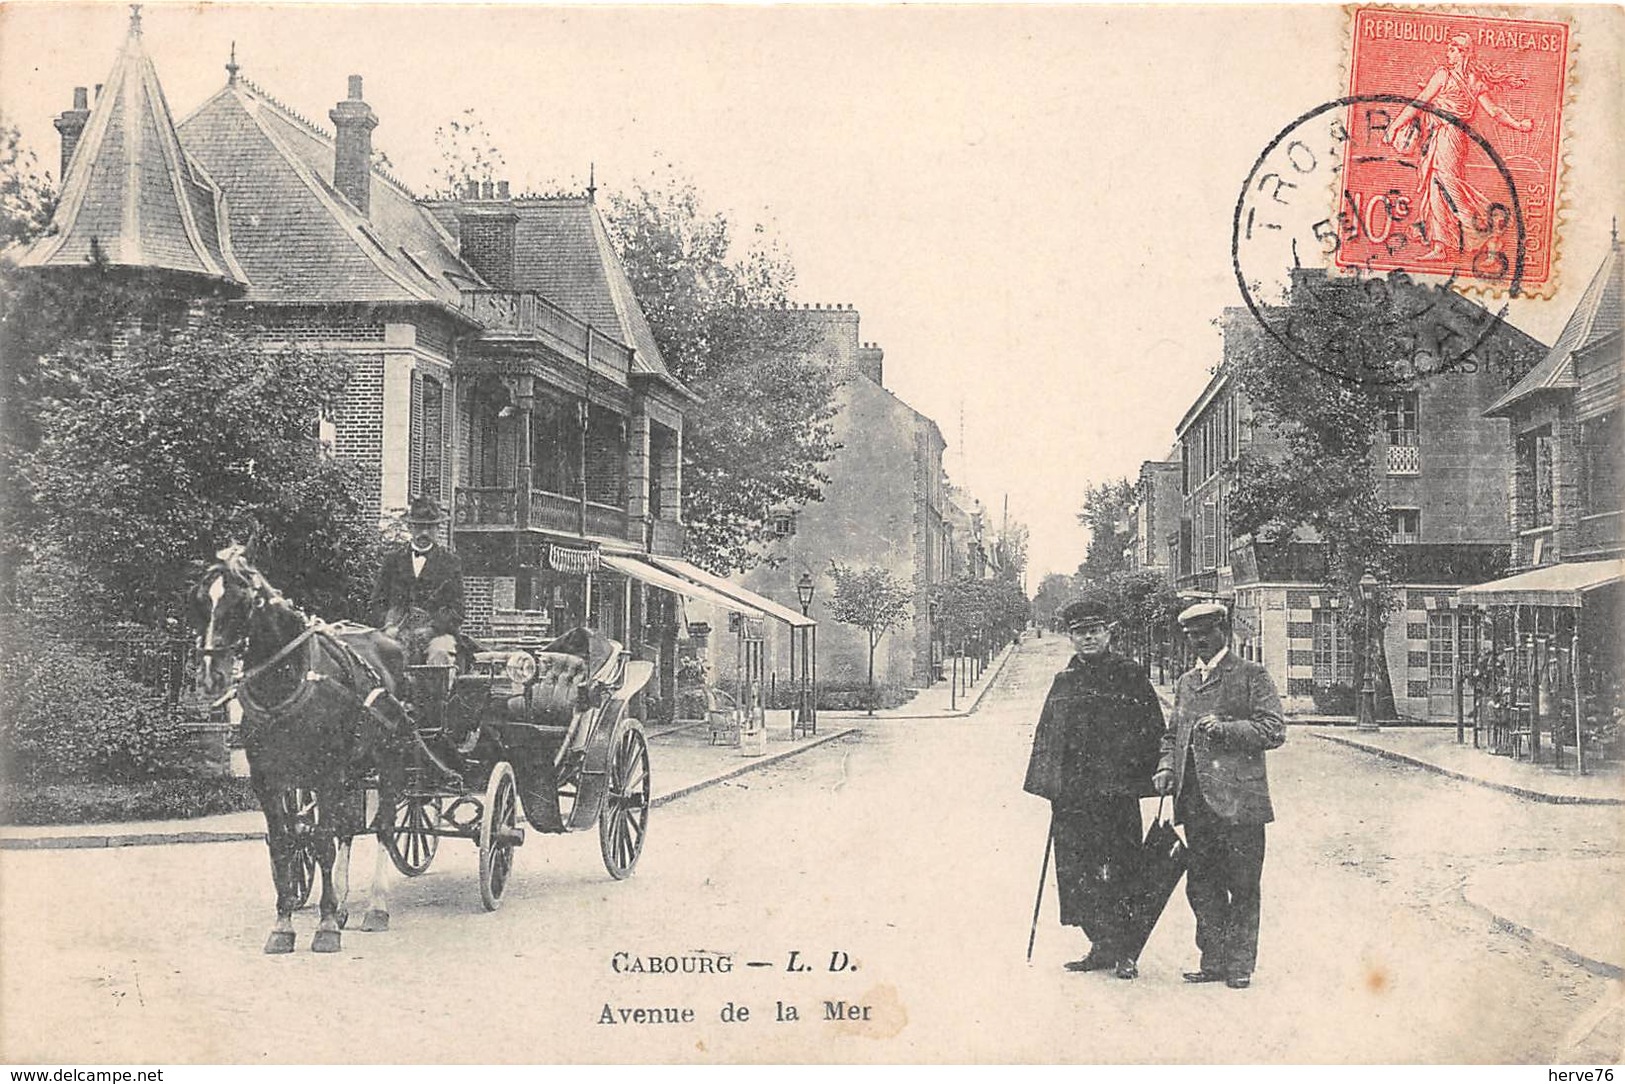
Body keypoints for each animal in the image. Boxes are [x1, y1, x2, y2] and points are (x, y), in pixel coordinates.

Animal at [190, 546, 409, 955]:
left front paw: (326, 926)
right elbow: (285, 843)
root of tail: (387, 640)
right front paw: (284, 925)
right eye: (199, 599)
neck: (287, 680)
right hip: (353, 770)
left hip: (389, 760)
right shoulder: (267, 779)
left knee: (384, 827)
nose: (212, 675)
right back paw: (344, 902)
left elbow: (322, 841)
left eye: (241, 602)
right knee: (348, 829)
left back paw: (376, 907)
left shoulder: (326, 774)